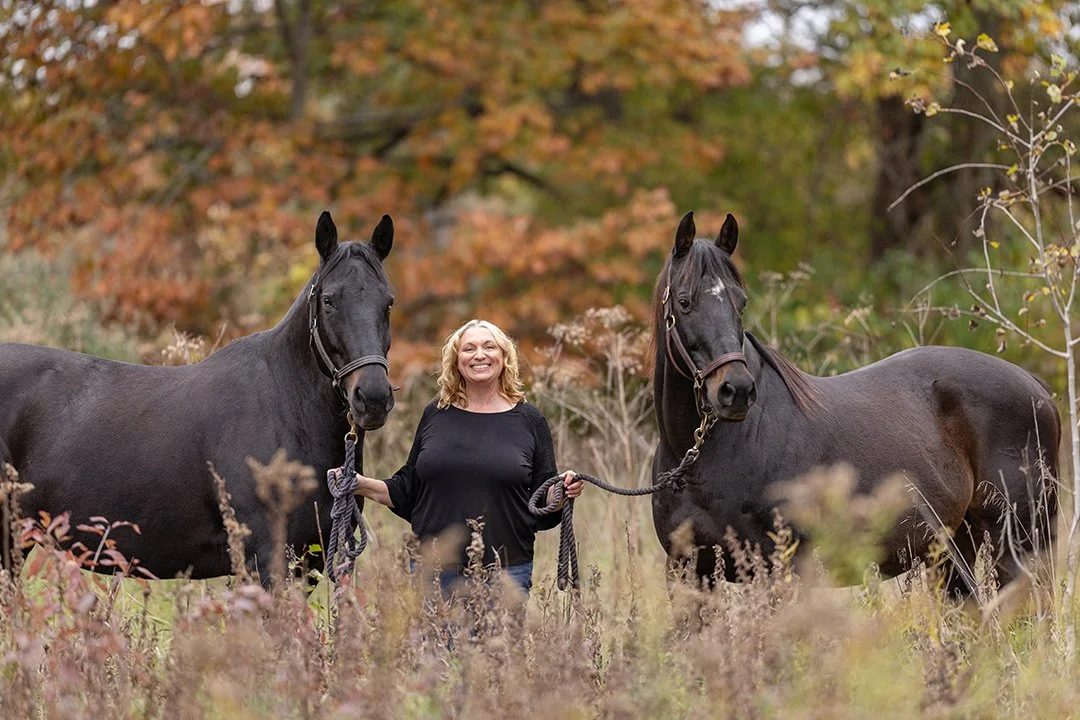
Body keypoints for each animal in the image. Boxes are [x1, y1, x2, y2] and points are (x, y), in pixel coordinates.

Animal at [0, 211, 396, 585]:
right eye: (329, 300)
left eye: (388, 303)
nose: (373, 397)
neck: (285, 409)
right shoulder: (268, 561)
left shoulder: (307, 565)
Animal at [650, 211, 1060, 595]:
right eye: (684, 302)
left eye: (741, 302)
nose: (735, 391)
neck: (699, 458)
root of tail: (1034, 386)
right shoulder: (688, 574)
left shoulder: (782, 571)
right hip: (951, 552)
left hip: (1017, 543)